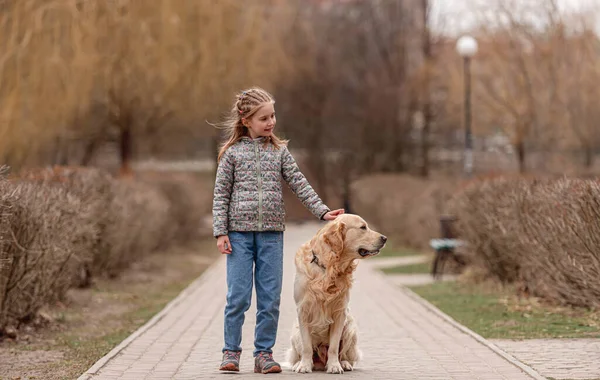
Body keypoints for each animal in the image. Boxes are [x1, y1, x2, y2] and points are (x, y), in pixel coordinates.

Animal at [288, 214, 390, 374]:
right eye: (363, 227)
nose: (384, 238)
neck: (328, 268)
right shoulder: (303, 311)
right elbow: (307, 346)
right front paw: (304, 366)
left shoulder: (340, 312)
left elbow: (334, 347)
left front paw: (334, 366)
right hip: (295, 333)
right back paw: (299, 364)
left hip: (350, 329)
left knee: (343, 354)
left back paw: (344, 364)